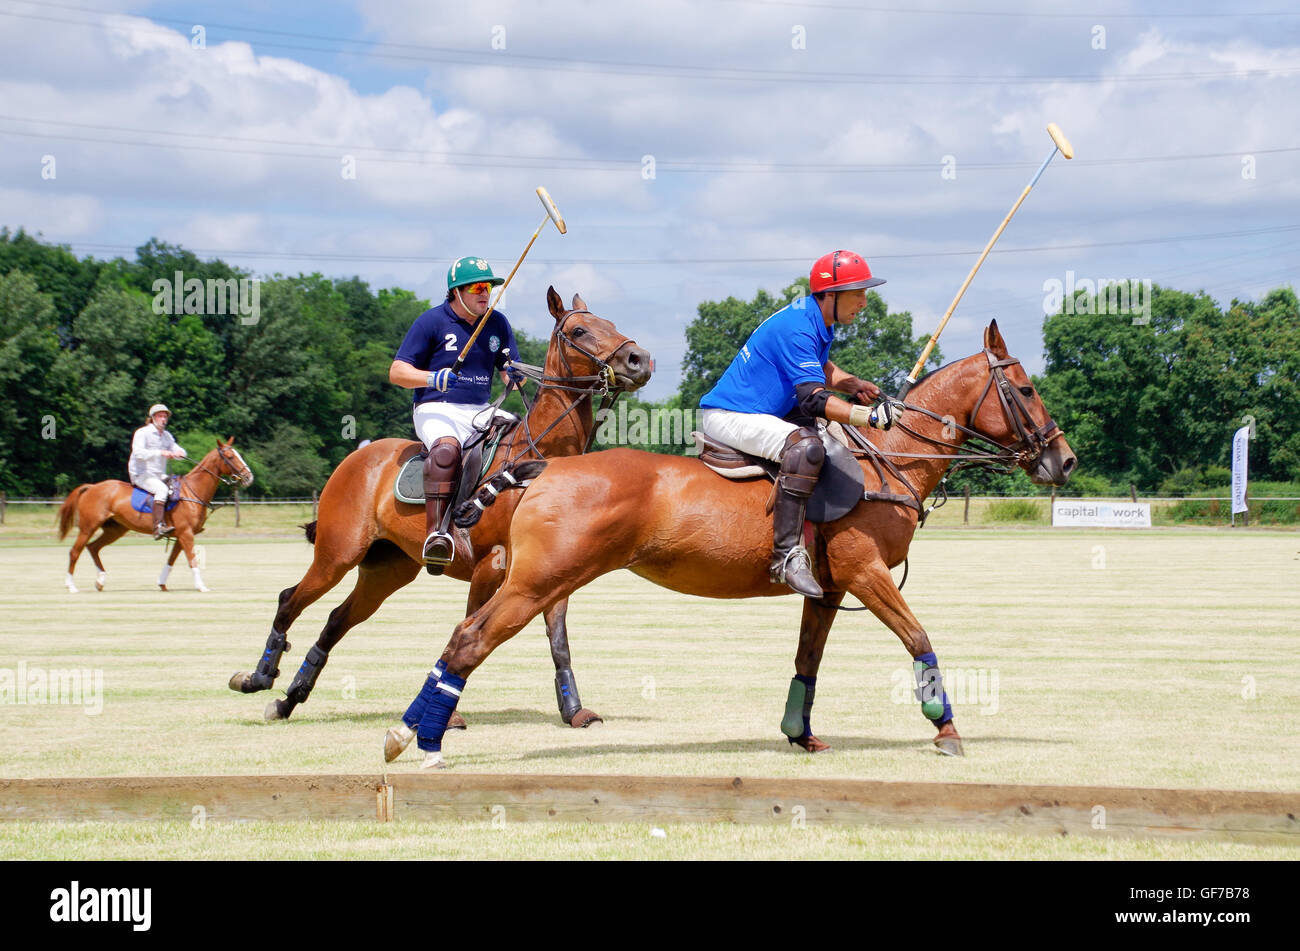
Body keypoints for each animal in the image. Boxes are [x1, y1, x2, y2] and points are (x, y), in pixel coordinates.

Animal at [57, 439, 254, 589]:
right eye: (230, 456)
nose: (249, 477)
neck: (193, 492)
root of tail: (91, 487)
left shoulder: (181, 534)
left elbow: (171, 560)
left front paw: (162, 583)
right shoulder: (186, 533)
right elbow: (192, 559)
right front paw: (202, 586)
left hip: (115, 529)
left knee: (93, 547)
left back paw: (100, 581)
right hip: (88, 526)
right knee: (75, 551)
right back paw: (71, 585)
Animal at [230, 285, 655, 722]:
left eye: (612, 323)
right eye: (579, 330)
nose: (640, 359)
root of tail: (357, 457)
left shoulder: (552, 570)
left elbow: (558, 639)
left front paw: (575, 711)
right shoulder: (492, 564)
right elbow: (468, 630)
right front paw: (445, 714)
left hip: (388, 568)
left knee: (336, 620)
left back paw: (289, 697)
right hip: (338, 552)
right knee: (290, 598)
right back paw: (258, 676)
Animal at [382, 323, 1076, 769]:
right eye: (1027, 389)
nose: (1063, 460)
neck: (888, 461)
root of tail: (547, 466)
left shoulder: (828, 587)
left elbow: (807, 661)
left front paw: (801, 735)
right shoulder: (866, 570)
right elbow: (919, 637)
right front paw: (946, 728)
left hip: (538, 577)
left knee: (460, 636)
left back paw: (406, 732)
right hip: (537, 580)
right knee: (468, 641)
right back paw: (427, 744)